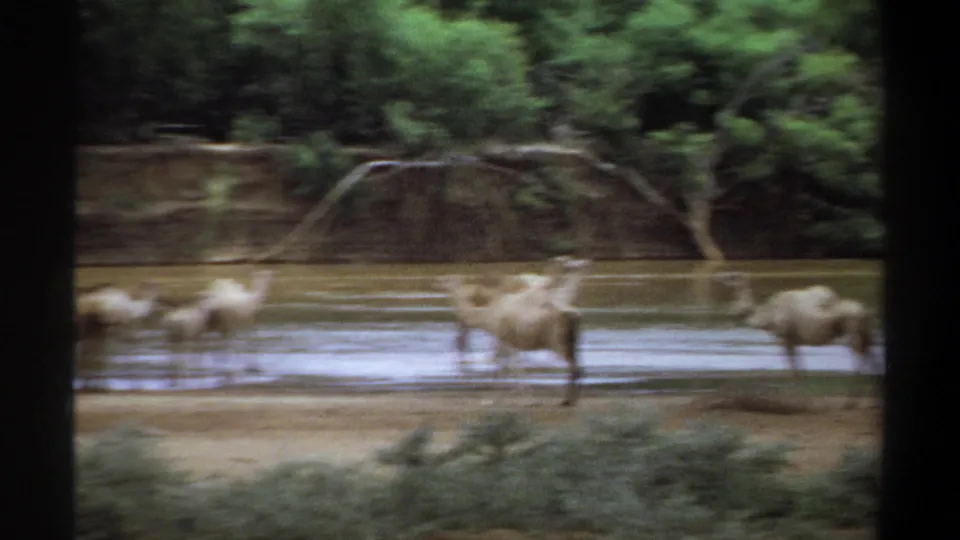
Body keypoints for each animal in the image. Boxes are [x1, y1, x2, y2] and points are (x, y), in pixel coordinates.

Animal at [434, 272, 584, 407]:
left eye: (447, 279)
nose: (436, 283)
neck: (487, 317)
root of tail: (574, 315)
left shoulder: (504, 338)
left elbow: (510, 367)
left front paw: (502, 398)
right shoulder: (507, 341)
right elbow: (507, 365)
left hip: (556, 340)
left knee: (573, 366)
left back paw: (567, 400)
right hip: (571, 340)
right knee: (577, 365)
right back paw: (570, 400)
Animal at [715, 271, 881, 408]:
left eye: (732, 276)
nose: (720, 277)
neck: (767, 316)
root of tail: (864, 311)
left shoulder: (785, 337)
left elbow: (793, 367)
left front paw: (796, 398)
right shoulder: (794, 340)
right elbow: (800, 366)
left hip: (852, 329)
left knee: (860, 355)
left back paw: (851, 400)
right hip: (862, 332)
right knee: (869, 353)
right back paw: (868, 397)